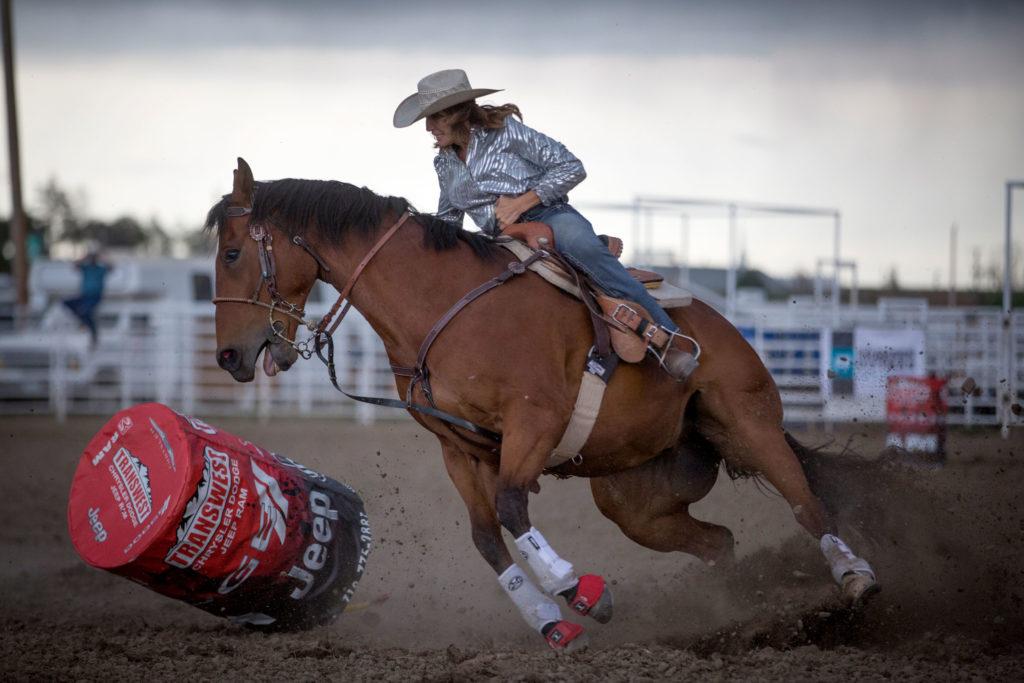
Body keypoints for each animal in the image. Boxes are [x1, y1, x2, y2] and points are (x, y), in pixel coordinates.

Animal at [209, 157, 880, 651]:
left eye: (233, 253)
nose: (229, 357)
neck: (443, 306)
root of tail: (718, 327)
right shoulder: (460, 448)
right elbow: (487, 535)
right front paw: (550, 621)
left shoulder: (534, 423)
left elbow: (512, 506)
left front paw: (579, 590)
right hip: (636, 500)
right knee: (718, 542)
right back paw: (728, 616)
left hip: (748, 421)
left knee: (807, 503)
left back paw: (856, 578)